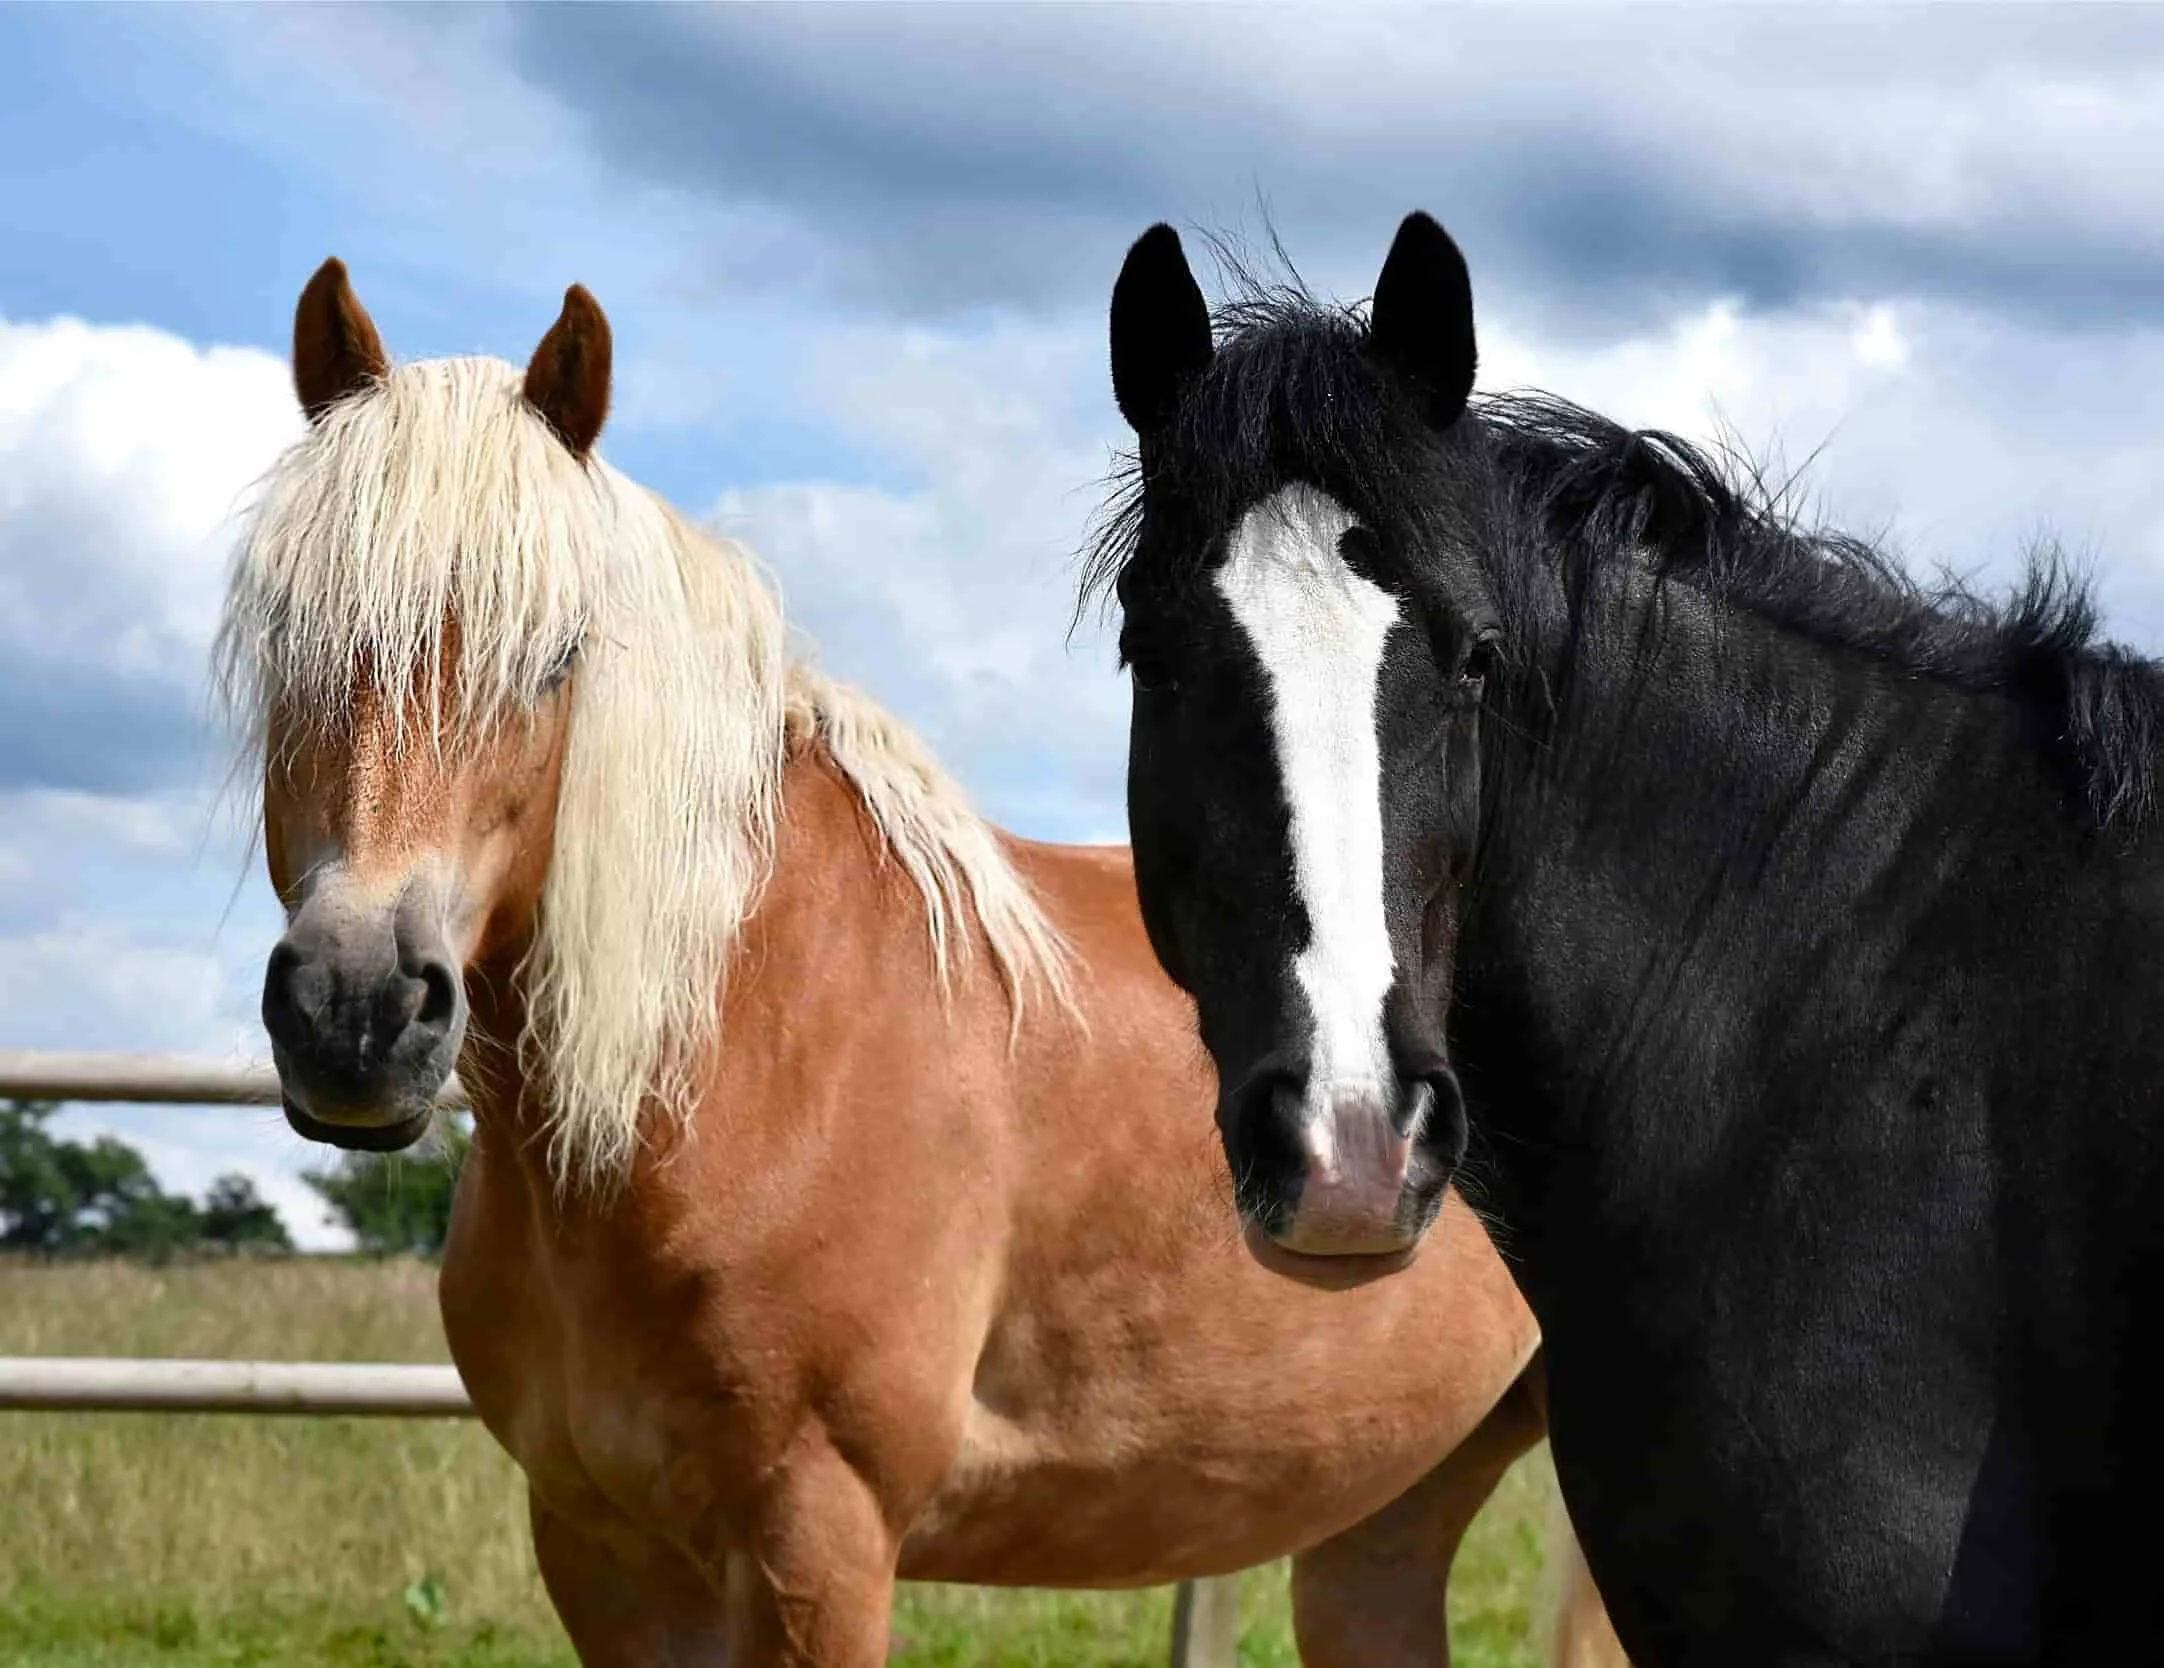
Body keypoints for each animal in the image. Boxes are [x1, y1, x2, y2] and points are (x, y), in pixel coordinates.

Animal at [213, 256, 1624, 1667]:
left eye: (556, 657)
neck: (744, 1052)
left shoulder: (820, 1540)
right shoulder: (599, 1549)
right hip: (1387, 1508)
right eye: (287, 636)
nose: (354, 1010)